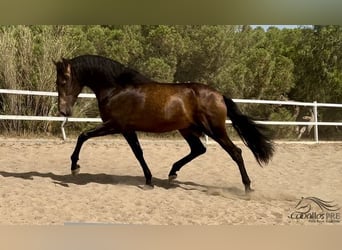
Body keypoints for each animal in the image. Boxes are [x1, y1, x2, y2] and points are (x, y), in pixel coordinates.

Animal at [53, 53, 274, 192]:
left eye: (63, 80)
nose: (63, 111)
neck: (117, 88)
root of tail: (219, 95)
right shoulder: (127, 130)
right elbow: (138, 153)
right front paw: (149, 180)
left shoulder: (116, 125)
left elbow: (83, 136)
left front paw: (74, 166)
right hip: (187, 129)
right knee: (199, 149)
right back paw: (172, 173)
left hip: (214, 130)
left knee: (236, 152)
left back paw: (247, 187)